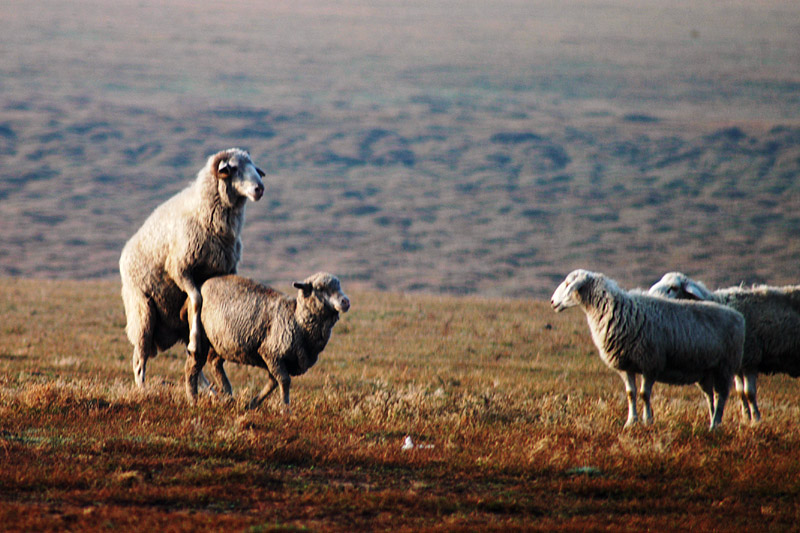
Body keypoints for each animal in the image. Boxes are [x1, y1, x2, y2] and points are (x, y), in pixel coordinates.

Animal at [119, 148, 266, 384]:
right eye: (234, 168)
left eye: (253, 167)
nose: (259, 188)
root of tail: (125, 252)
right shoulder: (180, 269)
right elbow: (197, 300)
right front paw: (196, 341)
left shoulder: (222, 271)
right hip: (142, 312)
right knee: (139, 359)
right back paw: (142, 388)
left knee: (194, 365)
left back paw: (209, 388)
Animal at [186, 272, 352, 410]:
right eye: (320, 288)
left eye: (339, 286)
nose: (345, 301)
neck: (296, 319)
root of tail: (202, 285)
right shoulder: (272, 353)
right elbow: (284, 381)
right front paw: (285, 409)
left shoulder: (277, 359)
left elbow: (273, 383)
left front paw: (252, 404)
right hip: (200, 337)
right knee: (192, 367)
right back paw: (193, 400)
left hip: (221, 344)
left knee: (215, 363)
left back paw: (228, 395)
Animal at [552, 270, 744, 428]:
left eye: (568, 284)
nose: (552, 302)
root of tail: (737, 315)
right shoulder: (626, 364)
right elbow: (630, 393)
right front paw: (631, 422)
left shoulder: (650, 362)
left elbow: (644, 394)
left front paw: (648, 421)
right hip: (706, 372)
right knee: (710, 397)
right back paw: (712, 422)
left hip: (725, 367)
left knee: (721, 396)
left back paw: (715, 425)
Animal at [648, 272, 800, 422]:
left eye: (673, 288)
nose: (651, 298)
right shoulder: (738, 364)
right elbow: (740, 392)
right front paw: (746, 417)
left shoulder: (750, 359)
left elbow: (749, 393)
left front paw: (756, 419)